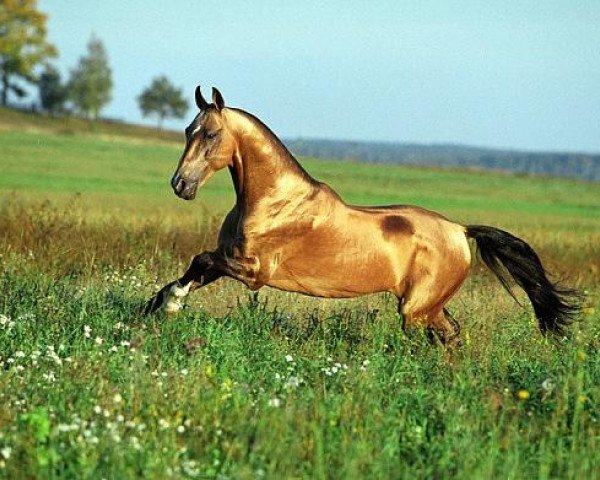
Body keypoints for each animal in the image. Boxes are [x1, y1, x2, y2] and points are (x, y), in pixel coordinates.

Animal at [144, 87, 576, 348]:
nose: (180, 184)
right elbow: (193, 269)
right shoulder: (230, 261)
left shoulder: (253, 271)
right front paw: (157, 307)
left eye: (211, 134)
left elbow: (200, 260)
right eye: (188, 129)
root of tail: (460, 229)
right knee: (451, 335)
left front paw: (170, 304)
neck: (274, 202)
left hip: (416, 309)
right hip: (429, 305)